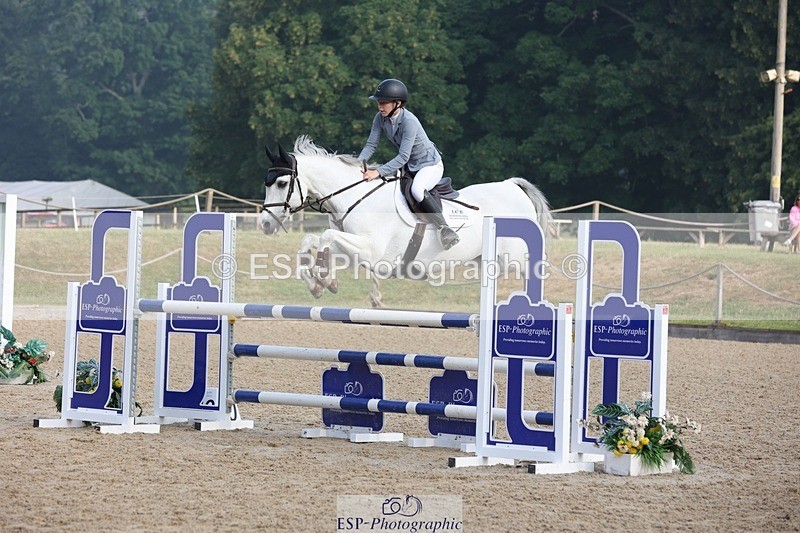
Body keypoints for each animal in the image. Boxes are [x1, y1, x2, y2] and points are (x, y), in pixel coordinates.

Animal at [258, 136, 553, 307]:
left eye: (282, 183)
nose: (265, 224)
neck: (355, 196)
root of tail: (512, 186)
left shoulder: (373, 252)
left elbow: (325, 238)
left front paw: (324, 278)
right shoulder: (354, 252)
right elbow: (311, 240)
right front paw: (319, 285)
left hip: (515, 259)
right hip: (487, 261)